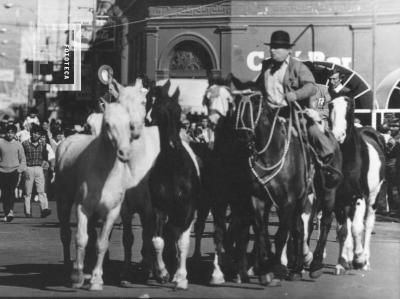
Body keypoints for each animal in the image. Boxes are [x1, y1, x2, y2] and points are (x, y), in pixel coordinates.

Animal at [54, 81, 146, 292]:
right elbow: (81, 238)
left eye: (128, 125)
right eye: (108, 124)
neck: (104, 172)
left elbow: (102, 243)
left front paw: (96, 279)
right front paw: (77, 276)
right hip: (63, 199)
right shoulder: (82, 207)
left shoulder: (113, 210)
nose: (124, 152)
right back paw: (67, 265)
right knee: (66, 233)